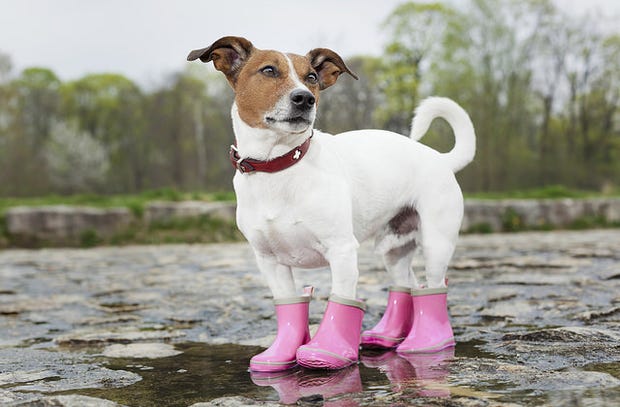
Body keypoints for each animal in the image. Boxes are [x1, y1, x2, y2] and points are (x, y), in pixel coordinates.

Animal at [186, 36, 478, 372]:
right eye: (269, 70)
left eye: (312, 77)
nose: (304, 99)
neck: (280, 166)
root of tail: (440, 158)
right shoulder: (270, 261)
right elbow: (288, 305)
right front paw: (280, 355)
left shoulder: (341, 251)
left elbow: (342, 301)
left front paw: (328, 351)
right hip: (392, 248)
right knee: (407, 285)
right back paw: (388, 336)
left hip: (436, 243)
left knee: (433, 287)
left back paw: (429, 343)